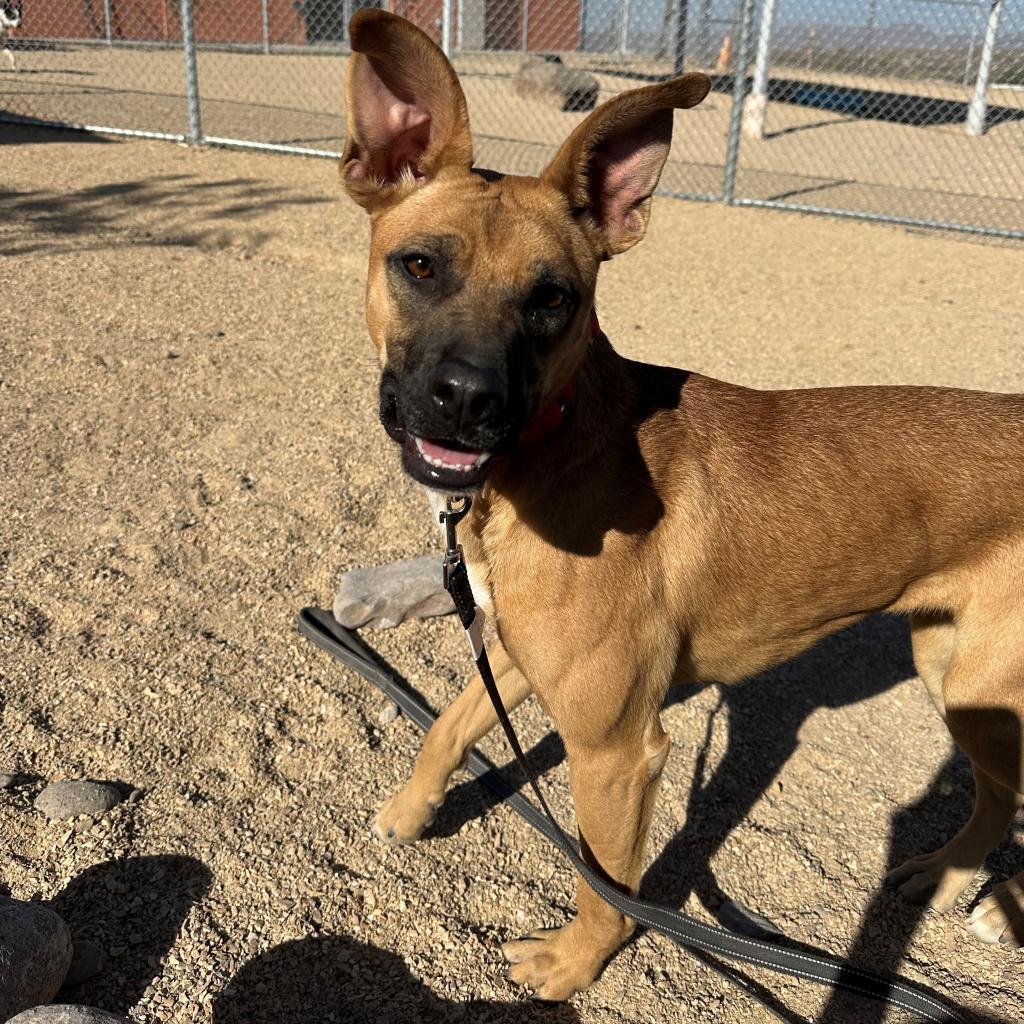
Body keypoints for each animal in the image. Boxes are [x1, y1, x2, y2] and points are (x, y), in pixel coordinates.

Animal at [342, 8, 1024, 999]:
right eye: (420, 266)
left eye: (554, 298)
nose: (465, 401)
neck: (551, 453)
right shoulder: (517, 647)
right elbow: (450, 724)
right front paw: (410, 808)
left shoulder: (619, 748)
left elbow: (604, 879)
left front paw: (575, 964)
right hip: (953, 668)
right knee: (997, 796)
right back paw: (941, 874)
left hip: (984, 684)